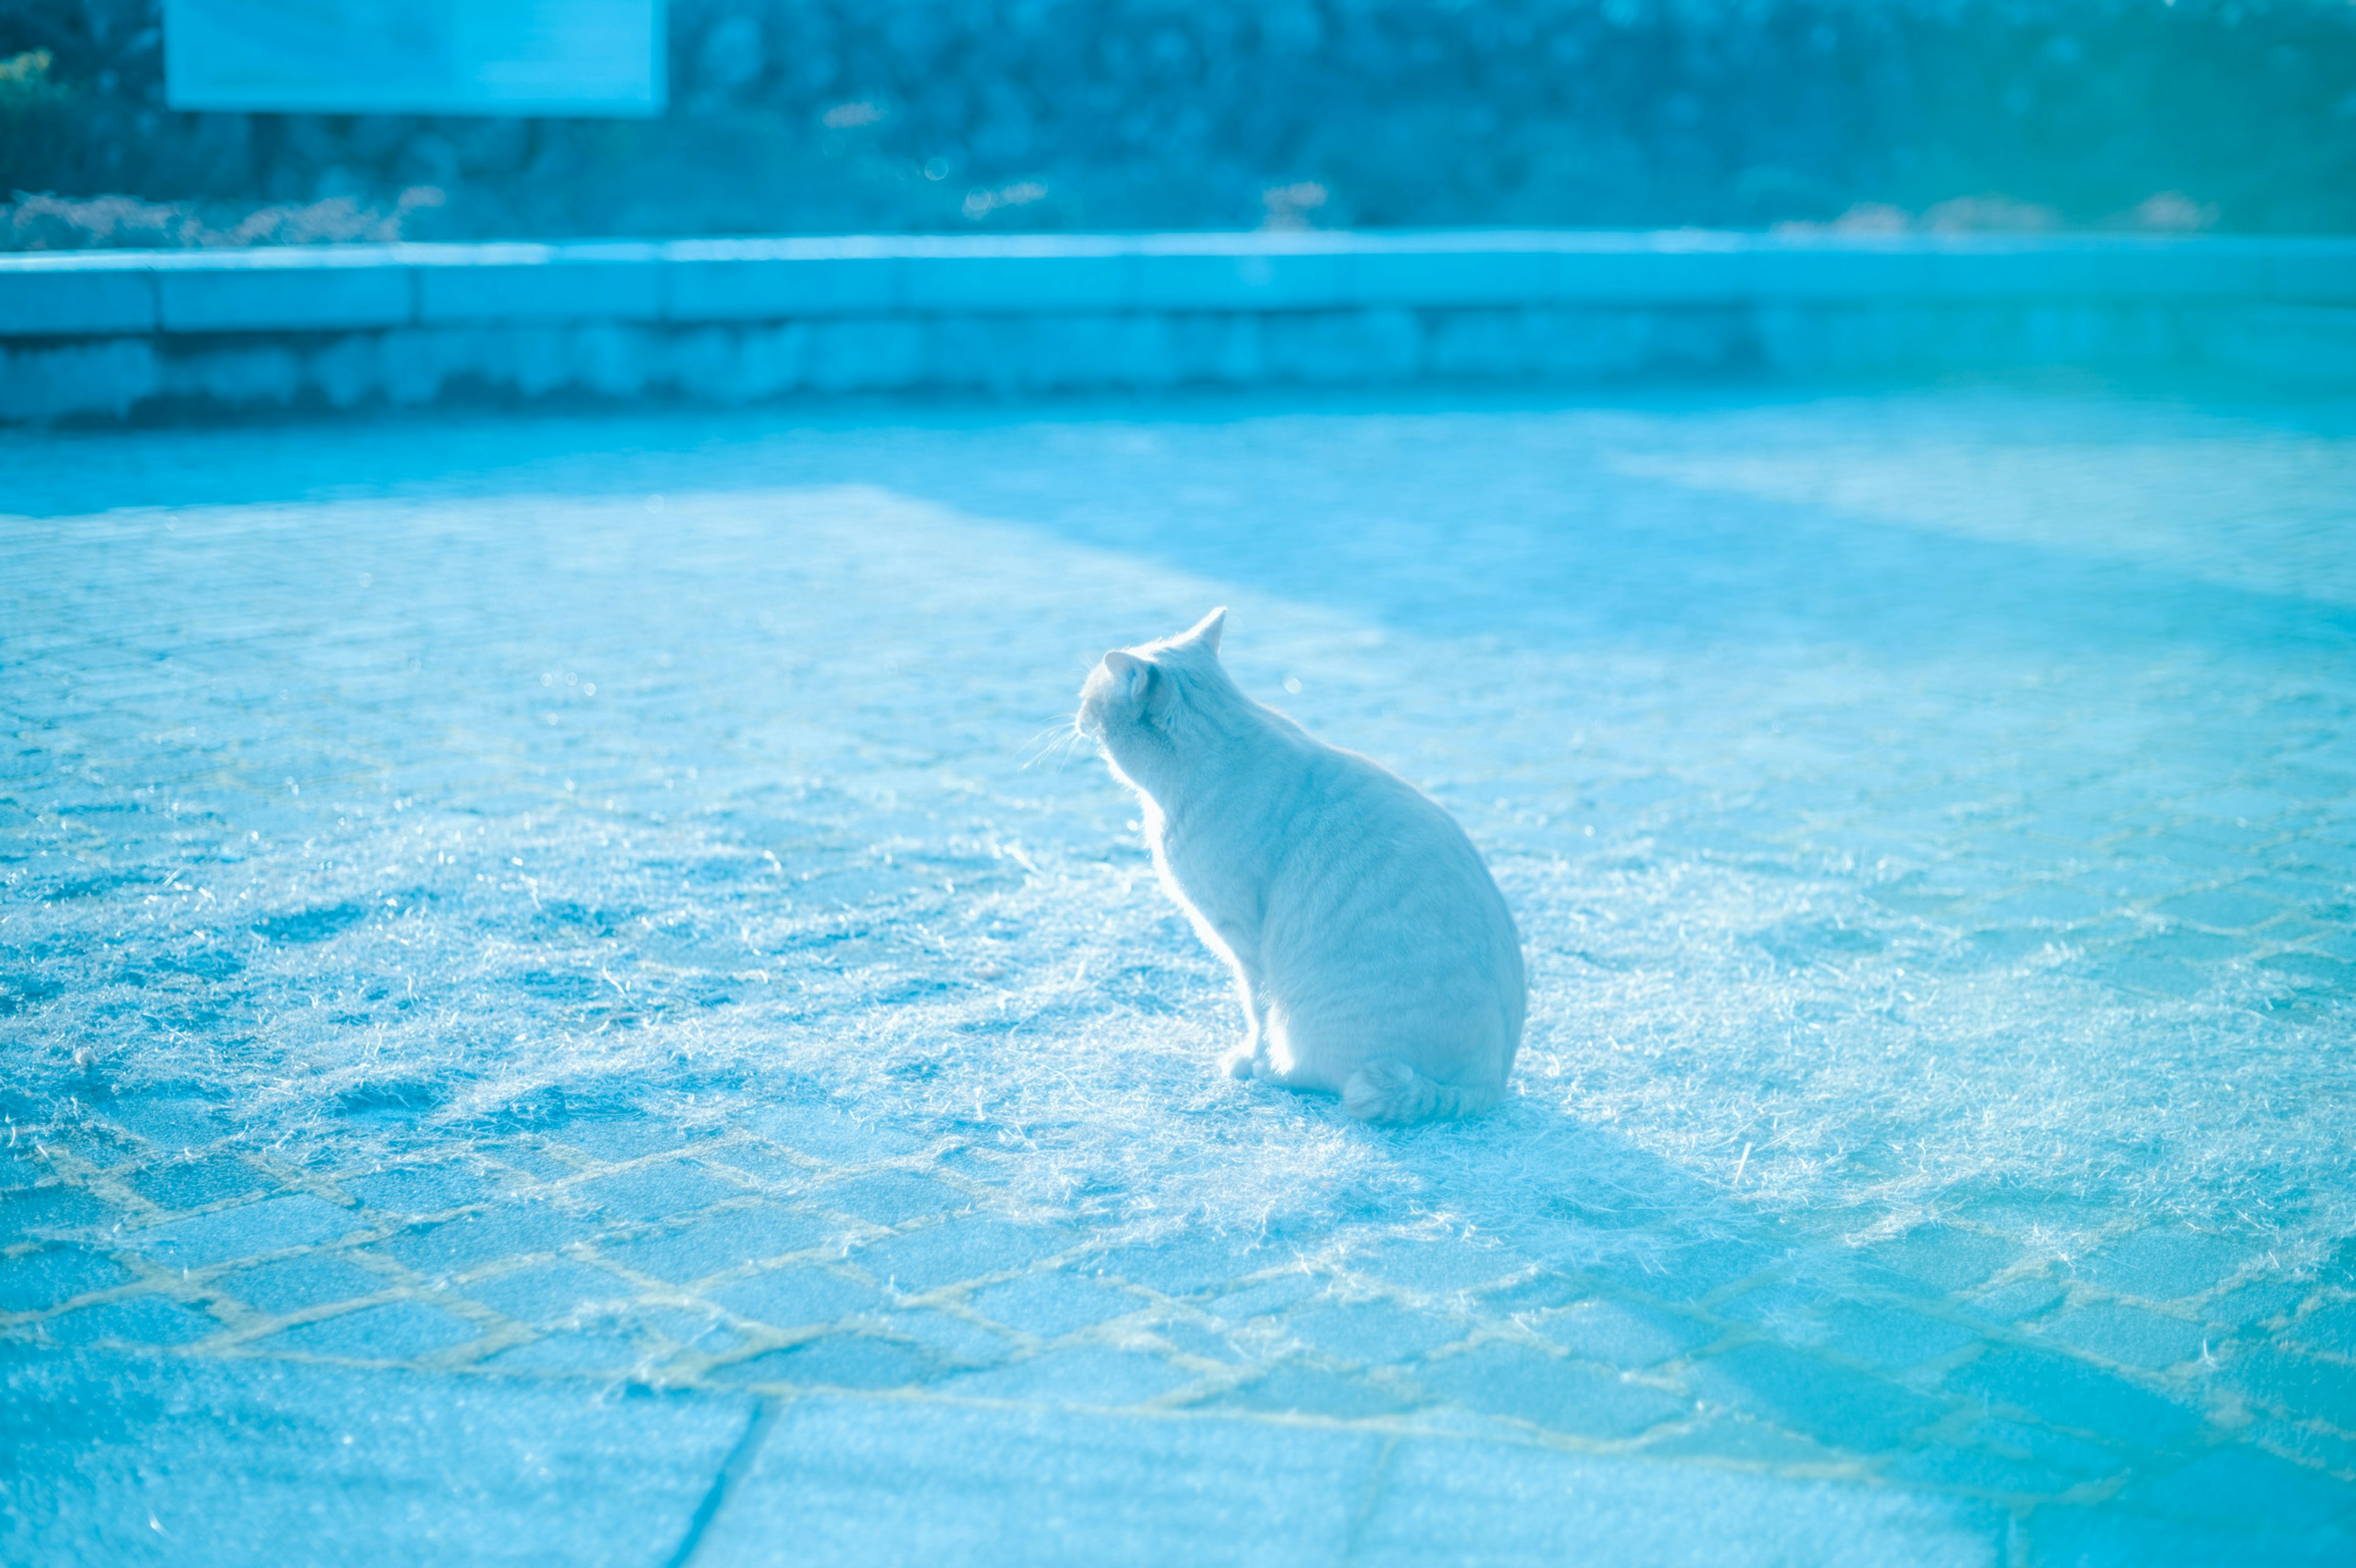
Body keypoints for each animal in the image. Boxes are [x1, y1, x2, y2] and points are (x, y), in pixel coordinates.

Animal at [1074, 602, 1526, 1116]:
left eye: (1089, 697)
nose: (1077, 713)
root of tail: (1487, 1086)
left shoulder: (1245, 946)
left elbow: (1258, 1014)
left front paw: (1250, 1062)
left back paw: (1276, 1072)